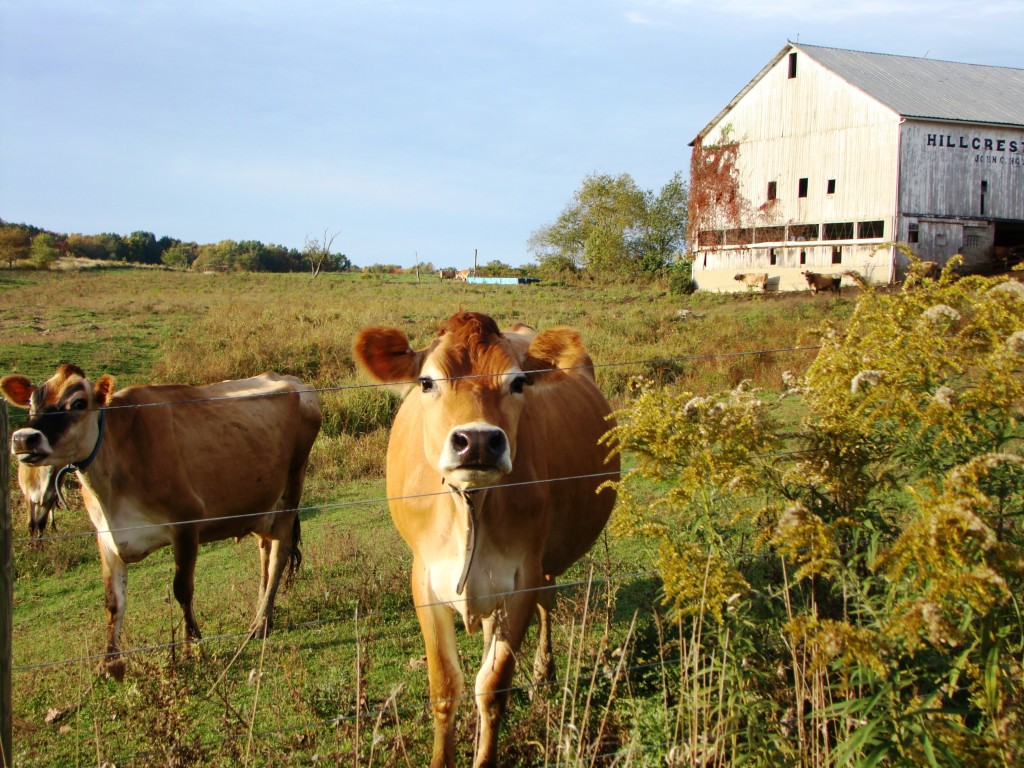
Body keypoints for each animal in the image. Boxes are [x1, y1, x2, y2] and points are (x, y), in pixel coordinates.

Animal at [1, 366, 319, 679]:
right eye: (31, 403)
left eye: (78, 403)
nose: (23, 438)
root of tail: (290, 380)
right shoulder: (106, 536)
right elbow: (113, 601)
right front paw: (108, 663)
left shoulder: (186, 524)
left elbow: (183, 590)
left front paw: (192, 646)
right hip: (260, 506)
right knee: (265, 554)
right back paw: (262, 615)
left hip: (291, 491)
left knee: (278, 556)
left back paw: (260, 624)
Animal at [356, 313, 618, 768]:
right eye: (427, 382)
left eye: (518, 383)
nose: (477, 440)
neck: (471, 504)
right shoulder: (425, 581)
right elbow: (446, 685)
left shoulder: (521, 578)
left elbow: (492, 686)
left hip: (542, 565)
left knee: (547, 604)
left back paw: (543, 673)